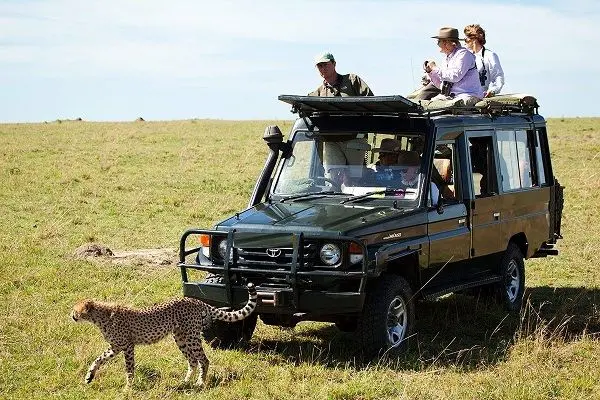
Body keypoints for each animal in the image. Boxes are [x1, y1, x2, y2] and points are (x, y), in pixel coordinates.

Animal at [71, 282, 256, 388]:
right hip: (180, 337)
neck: (99, 317)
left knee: (203, 359)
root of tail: (194, 300)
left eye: (75, 310)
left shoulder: (127, 346)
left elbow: (129, 368)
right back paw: (185, 382)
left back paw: (200, 383)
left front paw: (128, 387)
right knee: (193, 360)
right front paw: (89, 376)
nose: (71, 315)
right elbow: (98, 359)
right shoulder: (115, 347)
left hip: (192, 336)